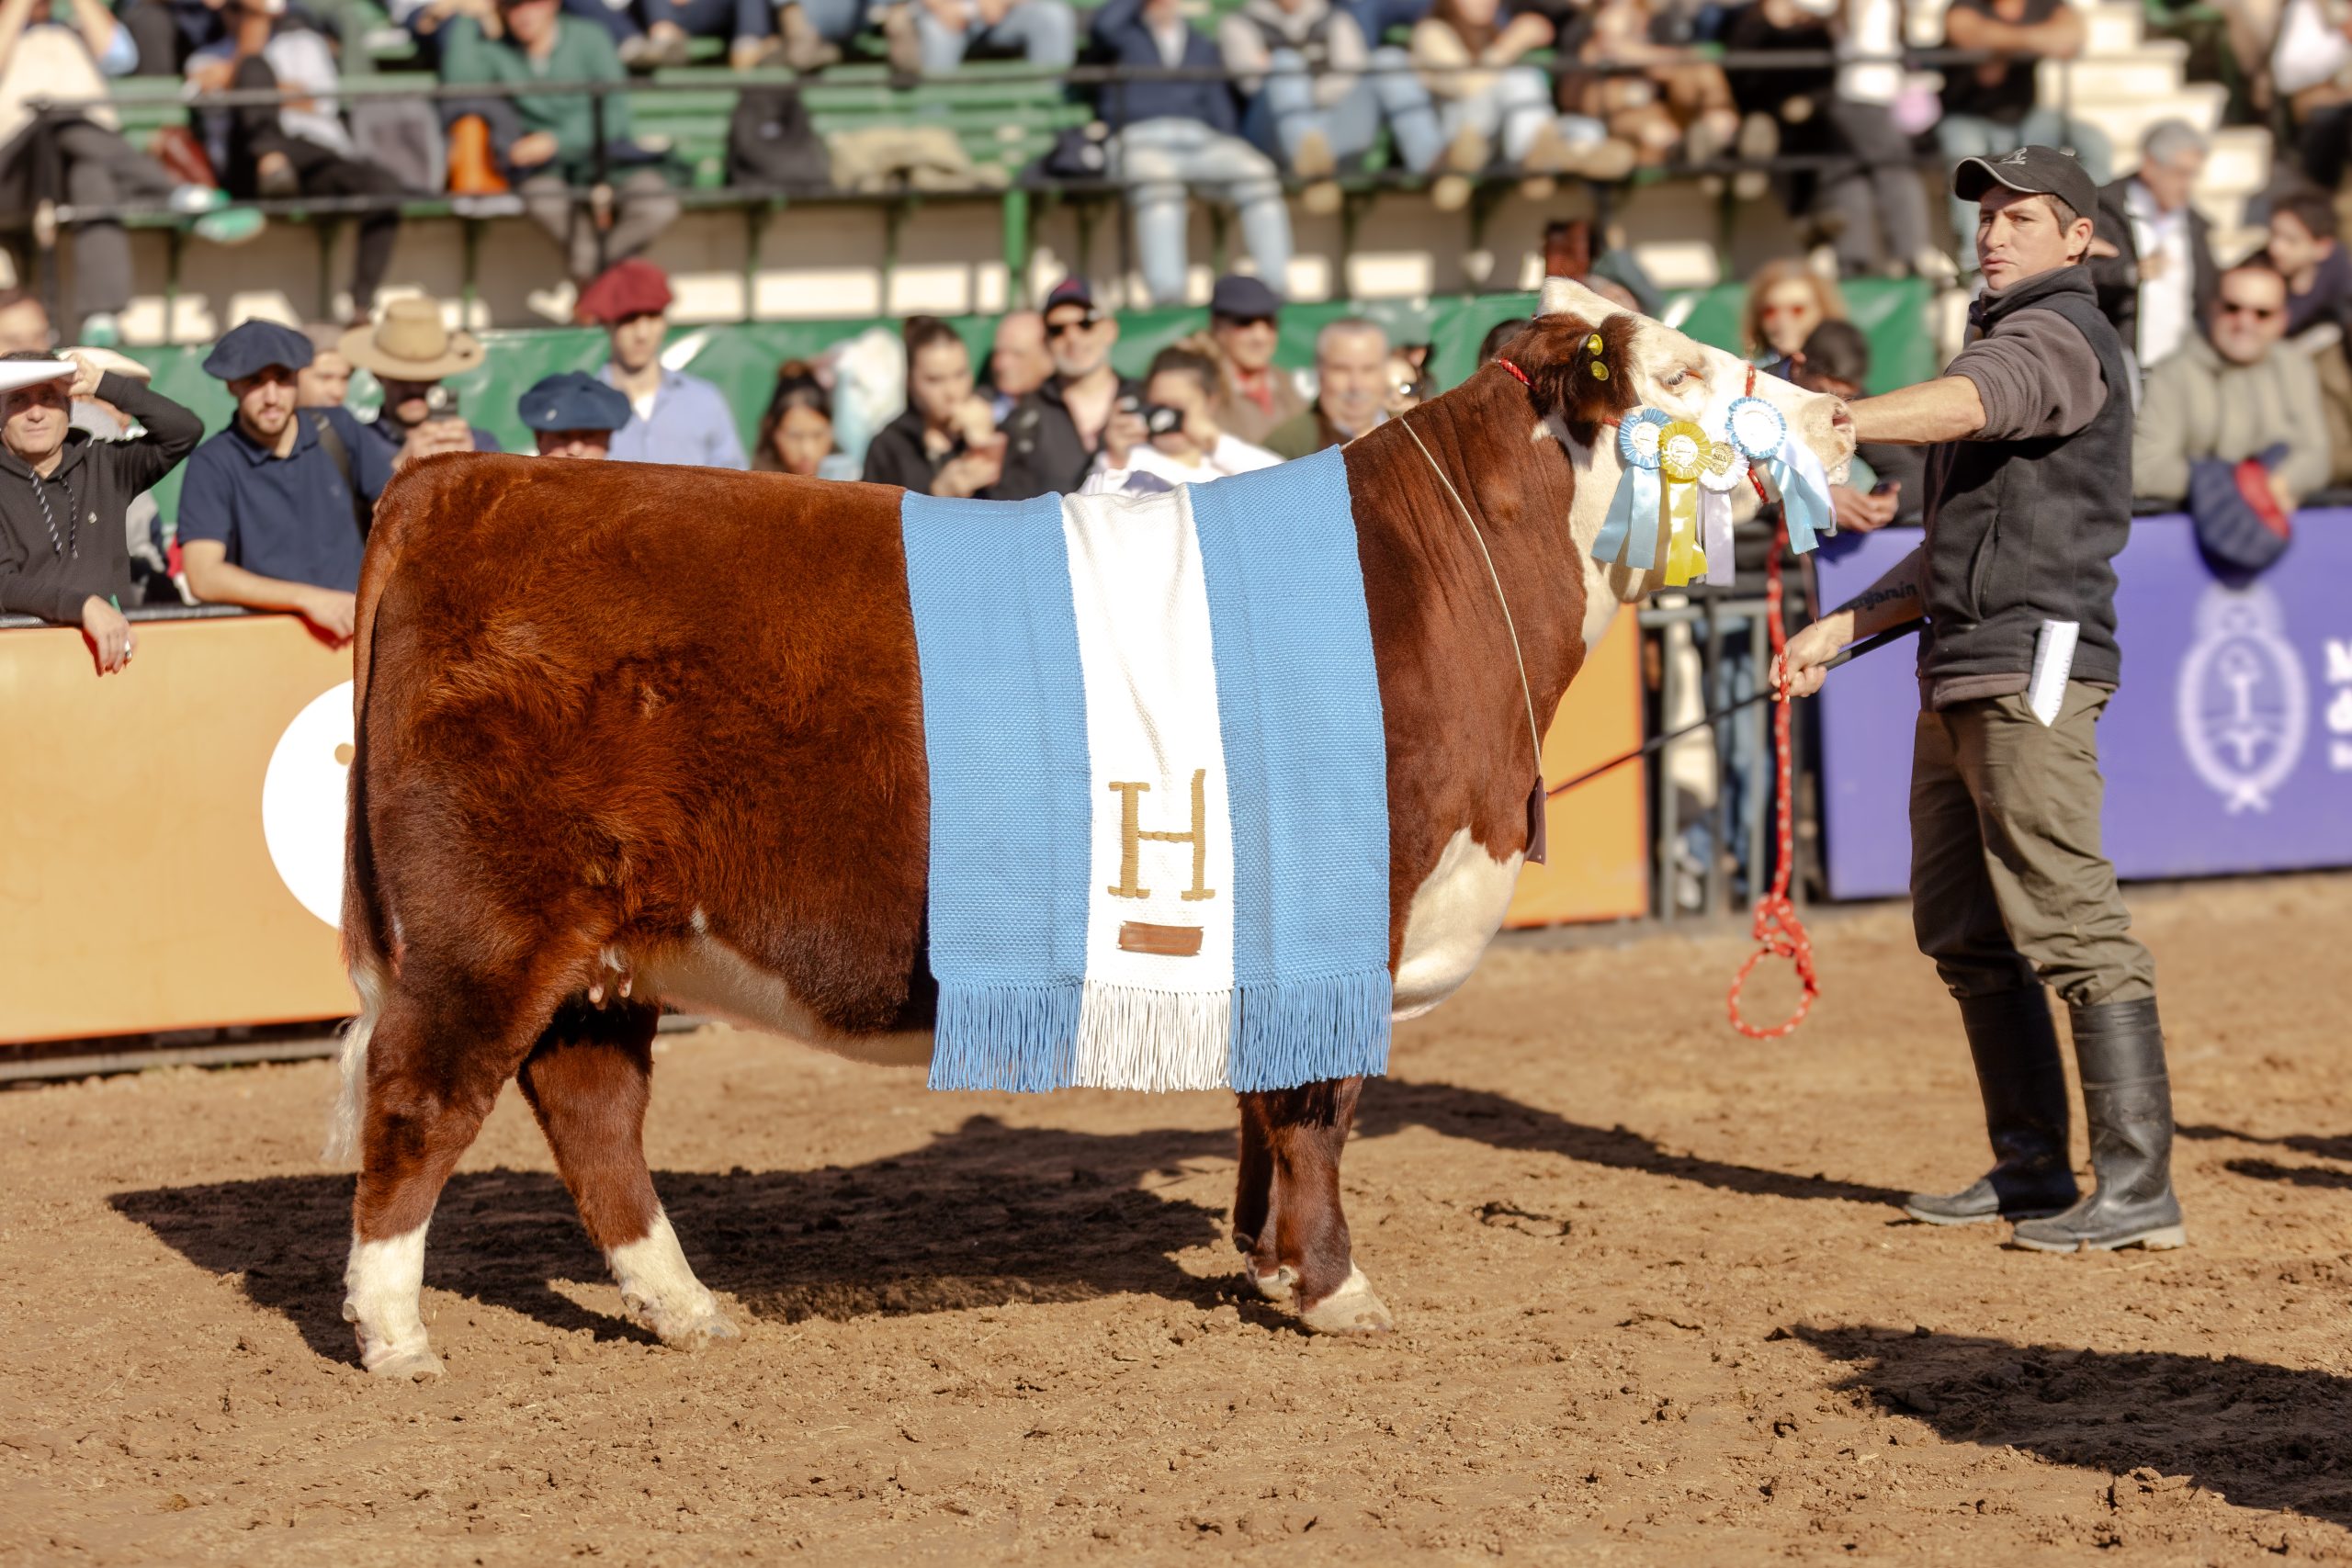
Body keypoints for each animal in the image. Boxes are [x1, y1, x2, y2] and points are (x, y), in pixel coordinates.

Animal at [326, 278, 1853, 1372]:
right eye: (1685, 376)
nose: (1840, 419)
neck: (1429, 583)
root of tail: (462, 481)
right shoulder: (1344, 909)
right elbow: (1320, 1104)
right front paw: (1337, 1286)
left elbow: (1266, 1101)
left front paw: (1266, 1260)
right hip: (487, 926)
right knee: (422, 1095)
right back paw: (396, 1331)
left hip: (607, 941)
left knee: (590, 1108)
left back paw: (684, 1303)